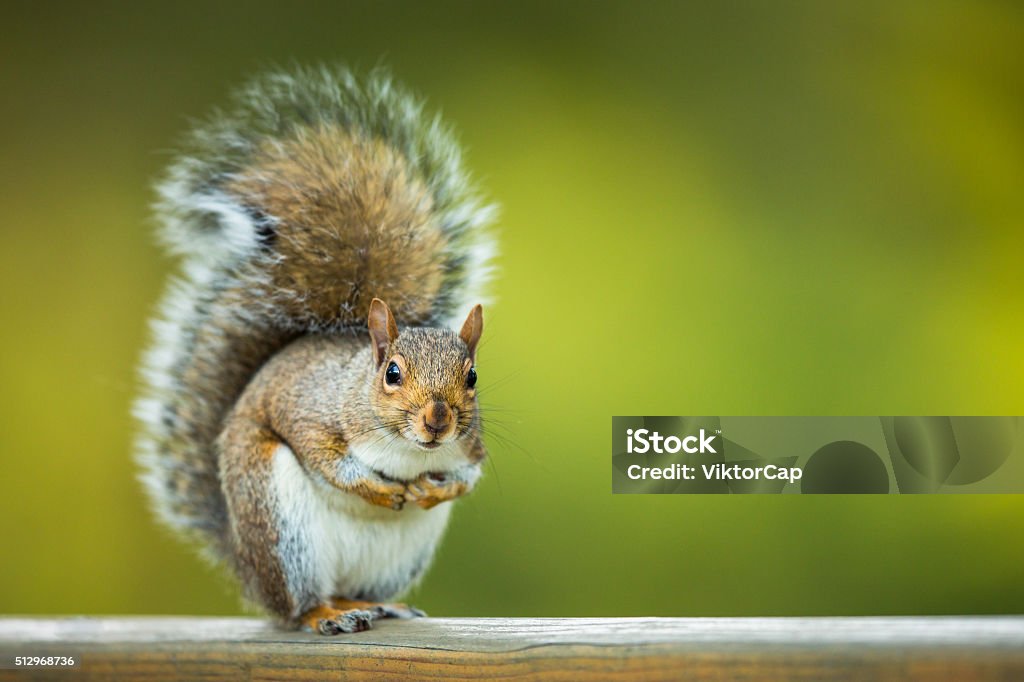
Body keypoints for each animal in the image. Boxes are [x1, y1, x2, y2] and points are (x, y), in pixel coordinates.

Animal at [133, 66, 495, 634]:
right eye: (392, 374)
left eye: (472, 377)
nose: (438, 421)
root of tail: (245, 564)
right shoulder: (310, 412)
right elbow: (327, 460)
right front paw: (381, 490)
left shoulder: (470, 446)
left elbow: (468, 476)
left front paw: (434, 489)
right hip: (280, 526)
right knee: (298, 605)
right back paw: (324, 614)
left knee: (355, 590)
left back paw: (375, 605)